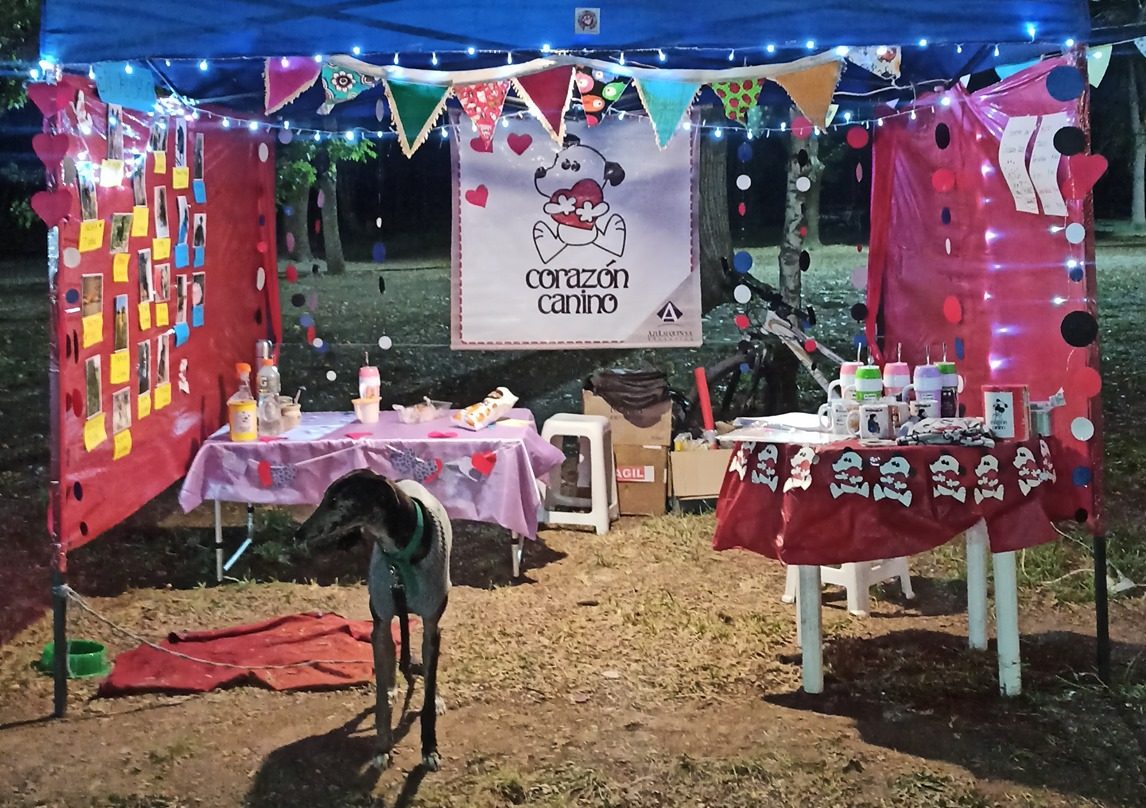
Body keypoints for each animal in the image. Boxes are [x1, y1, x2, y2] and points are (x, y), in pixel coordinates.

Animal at [295, 467, 451, 770]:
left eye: (335, 500)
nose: (298, 534)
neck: (400, 558)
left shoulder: (431, 627)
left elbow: (427, 693)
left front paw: (430, 748)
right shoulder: (380, 627)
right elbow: (380, 698)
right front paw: (382, 748)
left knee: (429, 672)